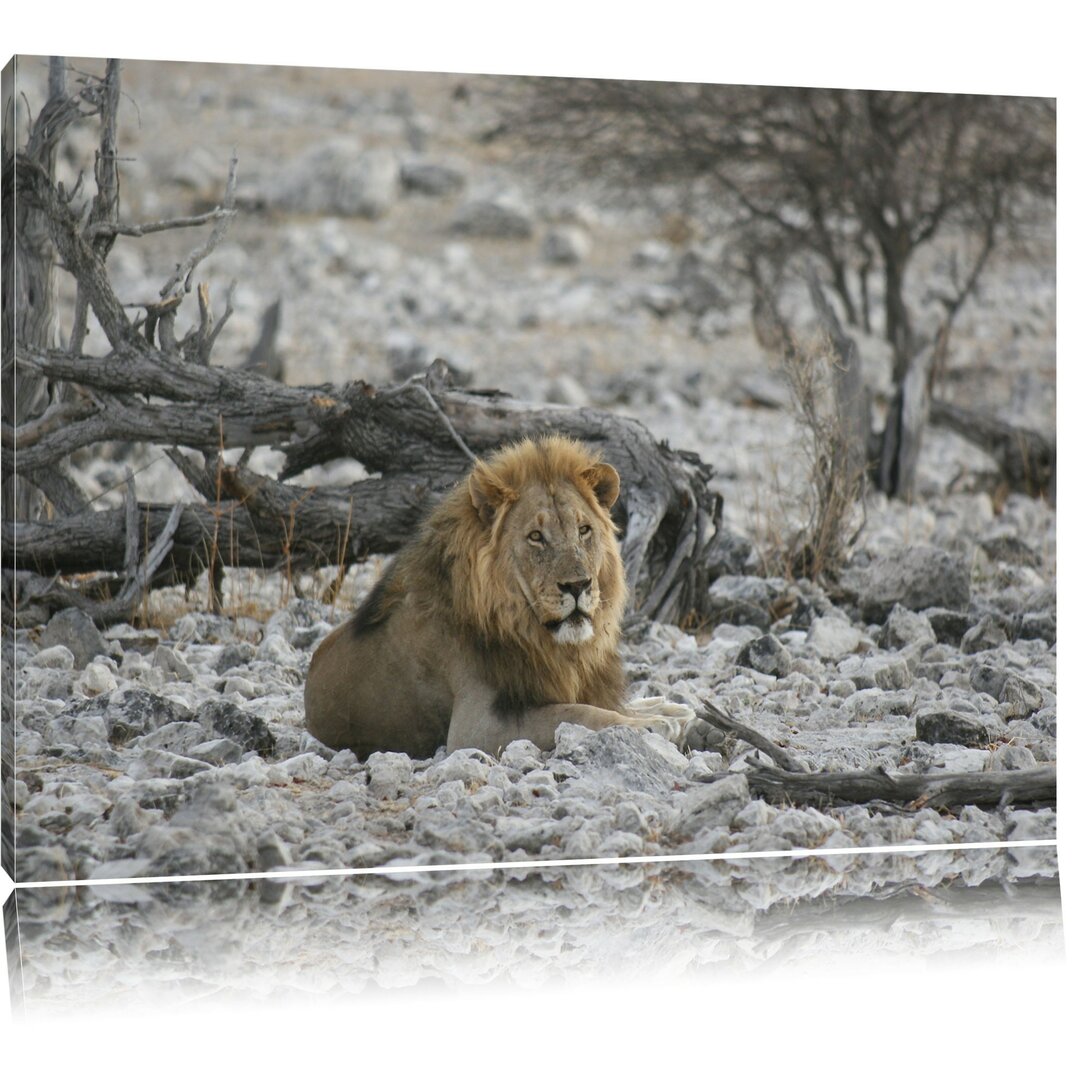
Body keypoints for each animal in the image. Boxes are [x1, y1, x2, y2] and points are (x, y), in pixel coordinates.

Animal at [302, 432, 682, 760]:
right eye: (535, 537)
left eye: (584, 530)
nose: (578, 585)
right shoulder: (475, 727)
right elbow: (579, 713)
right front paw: (654, 725)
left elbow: (599, 705)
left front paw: (666, 709)